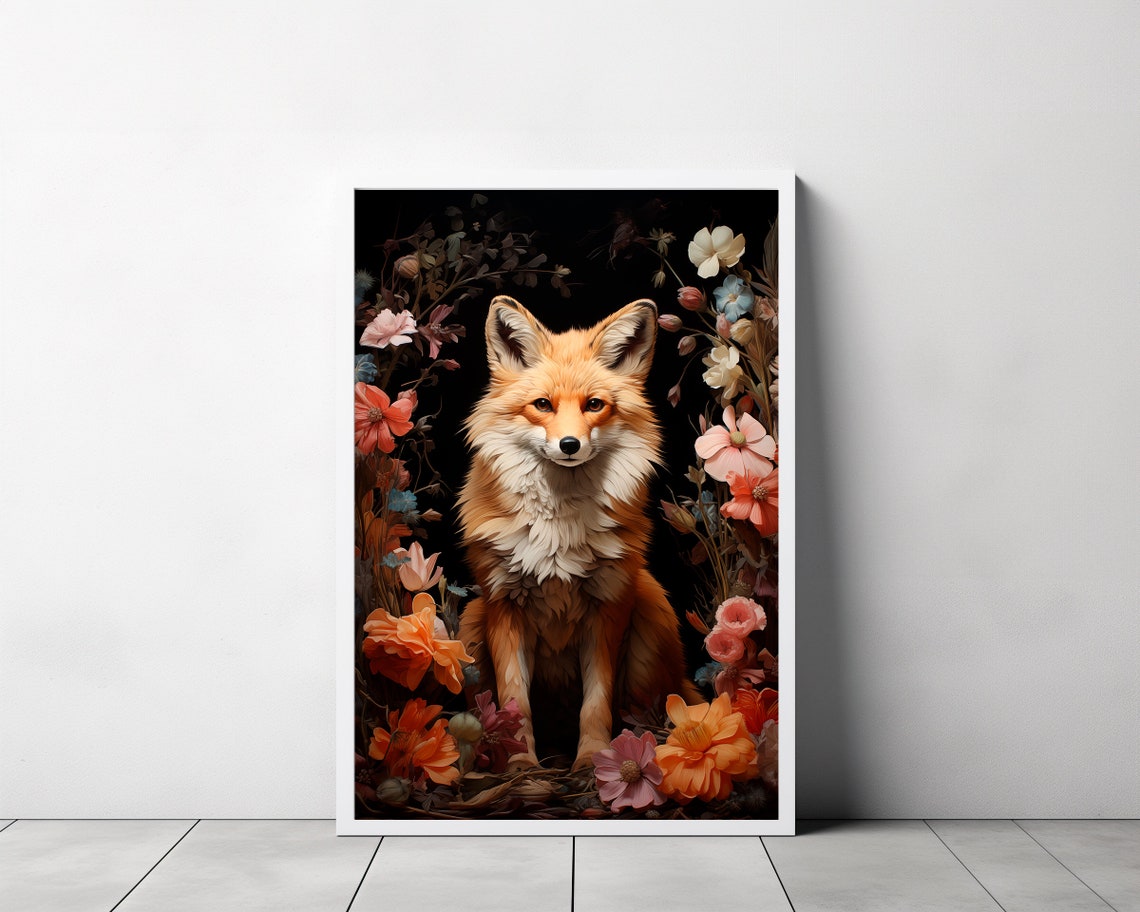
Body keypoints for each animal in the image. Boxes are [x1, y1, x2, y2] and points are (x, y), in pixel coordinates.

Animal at [457, 294, 699, 772]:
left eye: (594, 405)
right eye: (542, 404)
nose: (569, 445)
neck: (560, 526)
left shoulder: (608, 606)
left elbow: (597, 702)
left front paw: (592, 759)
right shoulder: (503, 605)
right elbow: (514, 702)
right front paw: (520, 765)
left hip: (650, 610)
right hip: (471, 623)